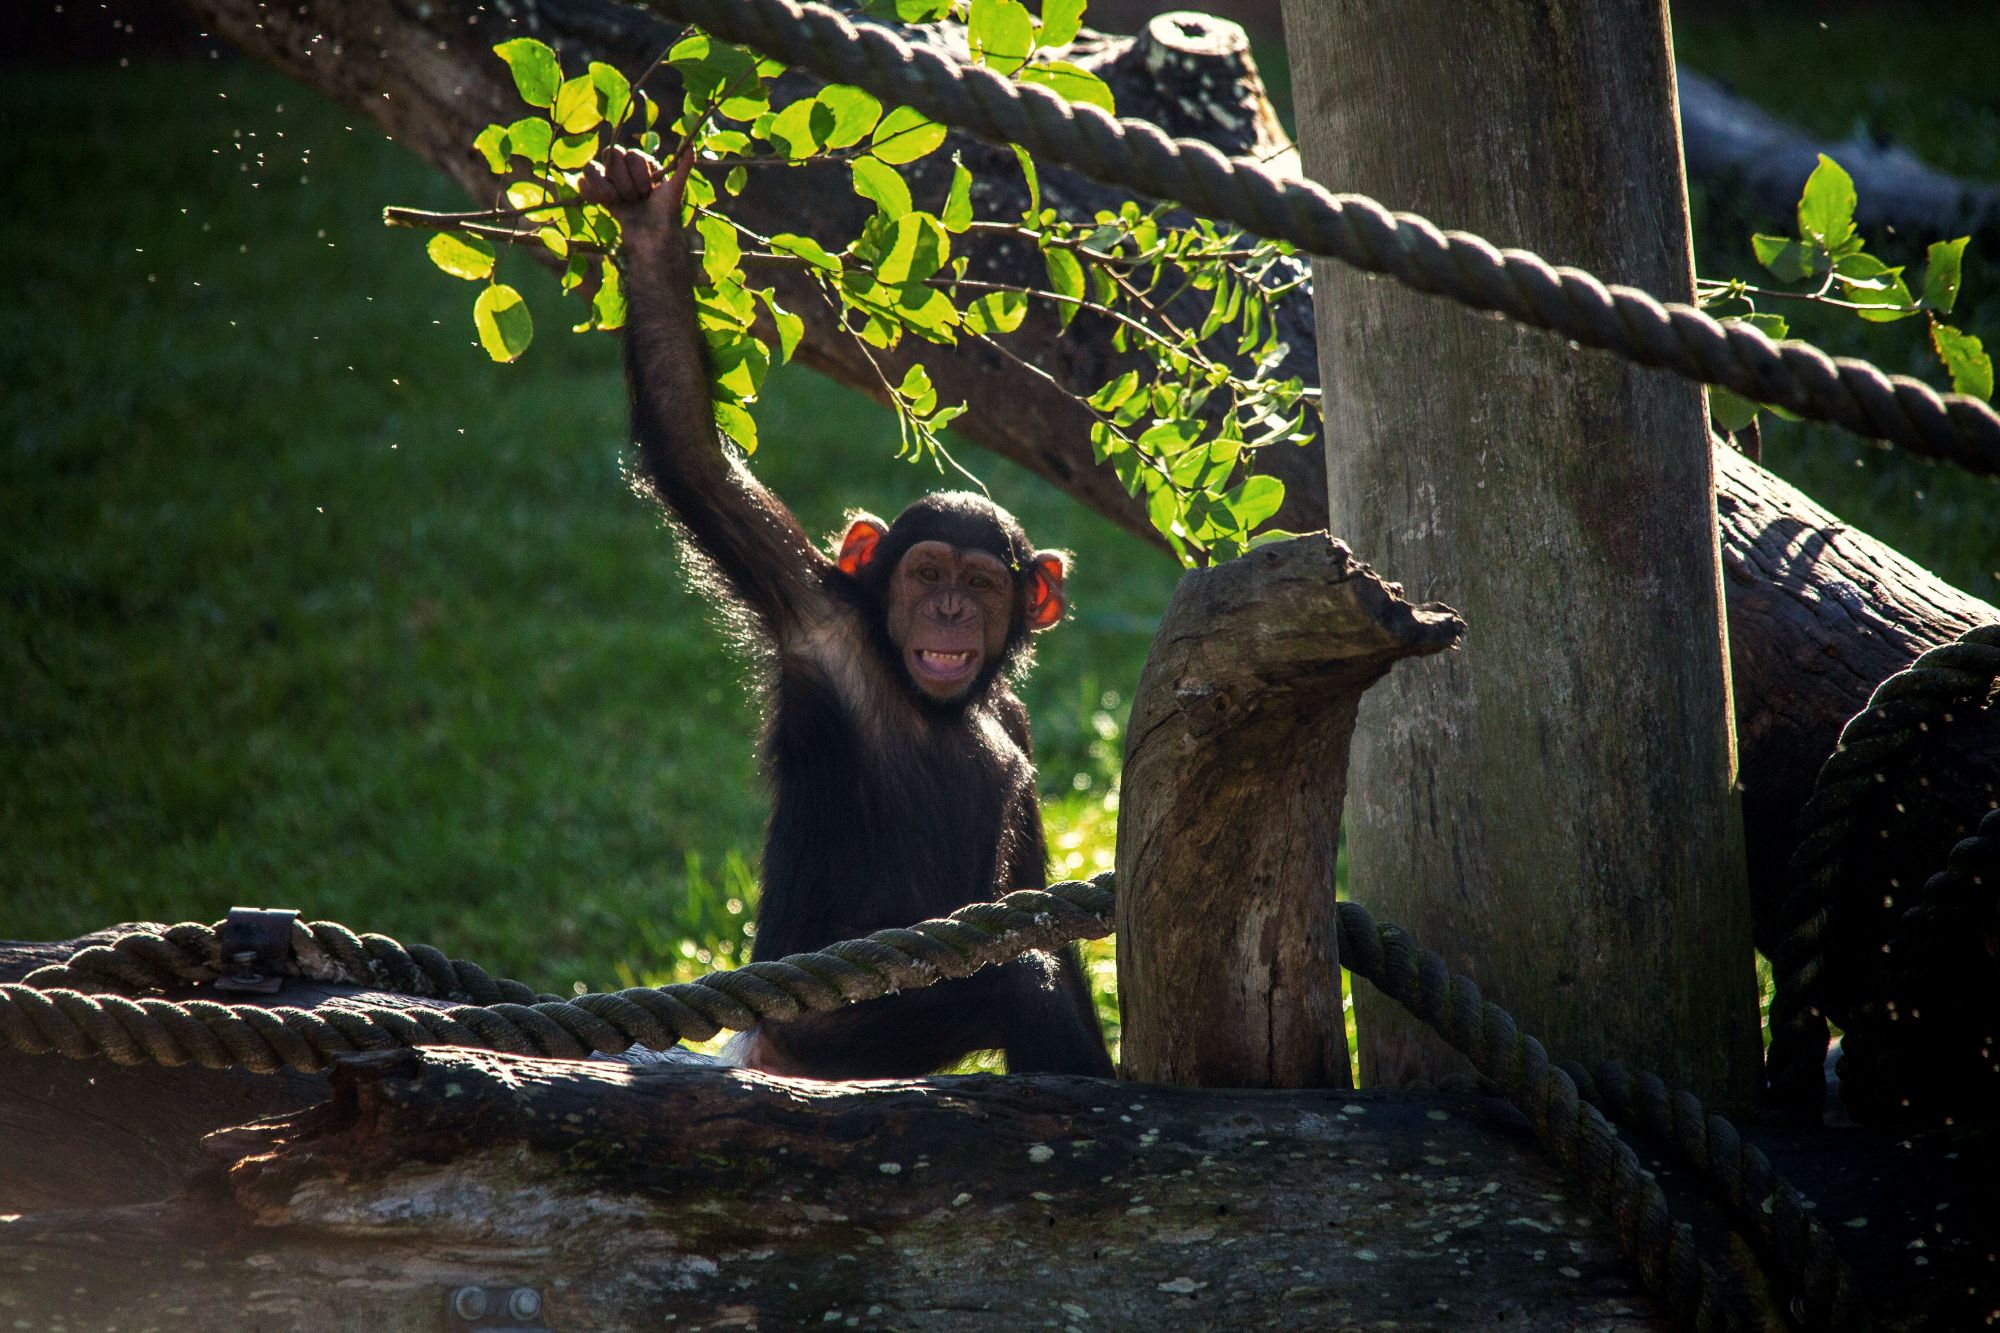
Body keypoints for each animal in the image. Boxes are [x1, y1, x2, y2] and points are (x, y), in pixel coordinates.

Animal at [583, 146, 1114, 1080]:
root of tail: (759, 1045)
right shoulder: (813, 615)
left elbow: (1033, 896)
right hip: (840, 1030)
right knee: (1021, 983)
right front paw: (647, 235)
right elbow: (694, 456)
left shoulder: (1016, 715)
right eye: (927, 571)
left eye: (982, 584)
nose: (947, 608)